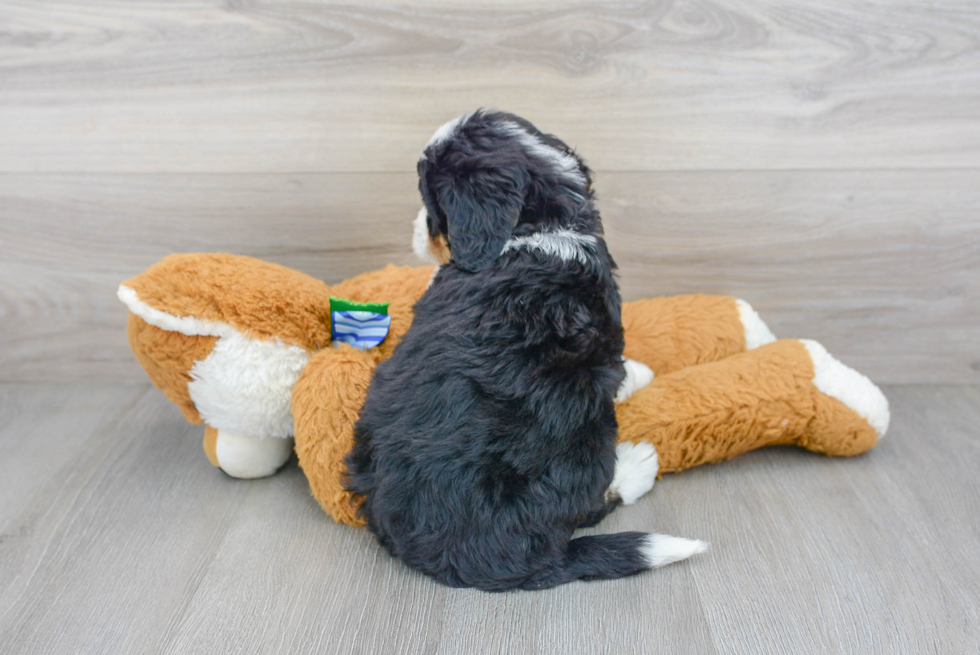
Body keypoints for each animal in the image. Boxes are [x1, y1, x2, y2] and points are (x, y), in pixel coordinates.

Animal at [344, 110, 704, 592]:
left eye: (430, 201)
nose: (417, 231)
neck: (544, 224)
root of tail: (481, 557)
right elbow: (621, 368)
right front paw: (642, 372)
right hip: (591, 433)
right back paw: (639, 463)